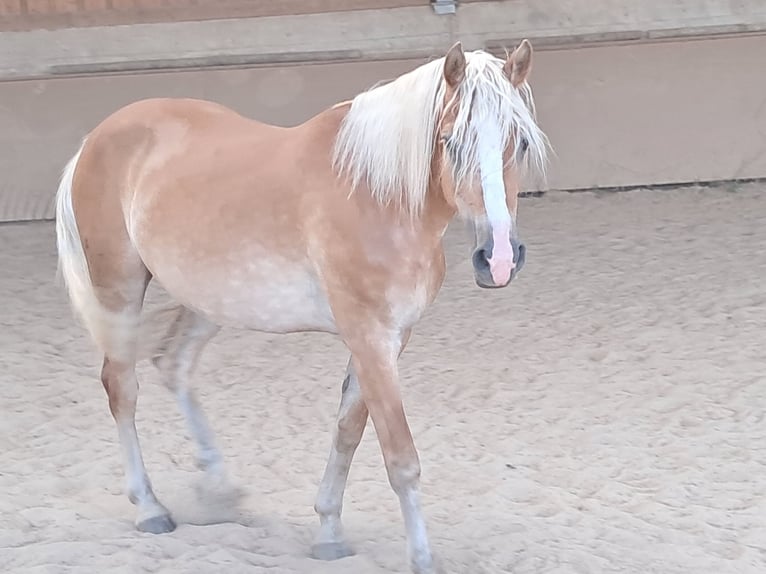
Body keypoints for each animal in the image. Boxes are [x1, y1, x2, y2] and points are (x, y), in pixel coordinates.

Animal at [55, 40, 552, 574]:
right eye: (449, 141)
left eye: (521, 143)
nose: (498, 259)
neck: (376, 196)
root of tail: (94, 140)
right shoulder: (370, 338)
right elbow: (400, 458)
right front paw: (421, 558)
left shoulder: (389, 340)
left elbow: (348, 432)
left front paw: (329, 532)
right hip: (119, 289)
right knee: (122, 387)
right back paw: (150, 507)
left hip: (209, 301)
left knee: (174, 363)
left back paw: (219, 491)